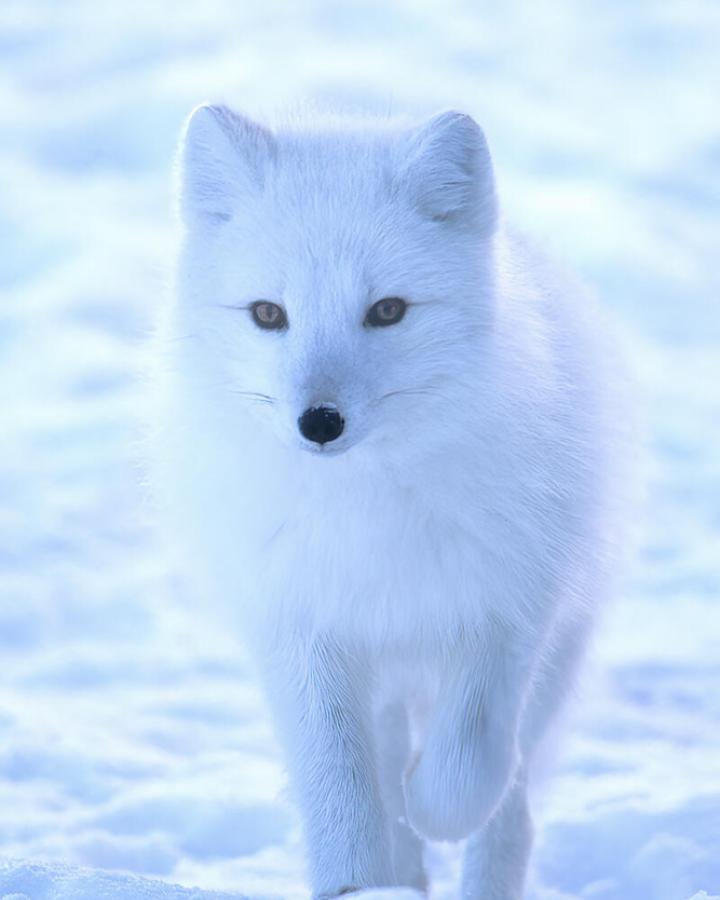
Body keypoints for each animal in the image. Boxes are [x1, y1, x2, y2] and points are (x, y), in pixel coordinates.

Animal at [152, 103, 636, 899]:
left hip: (559, 649)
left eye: (386, 310)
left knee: (512, 805)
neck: (367, 511)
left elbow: (467, 762)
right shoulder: (300, 628)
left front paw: (436, 807)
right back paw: (401, 873)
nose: (319, 423)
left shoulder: (506, 610)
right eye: (267, 313)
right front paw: (356, 881)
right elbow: (339, 790)